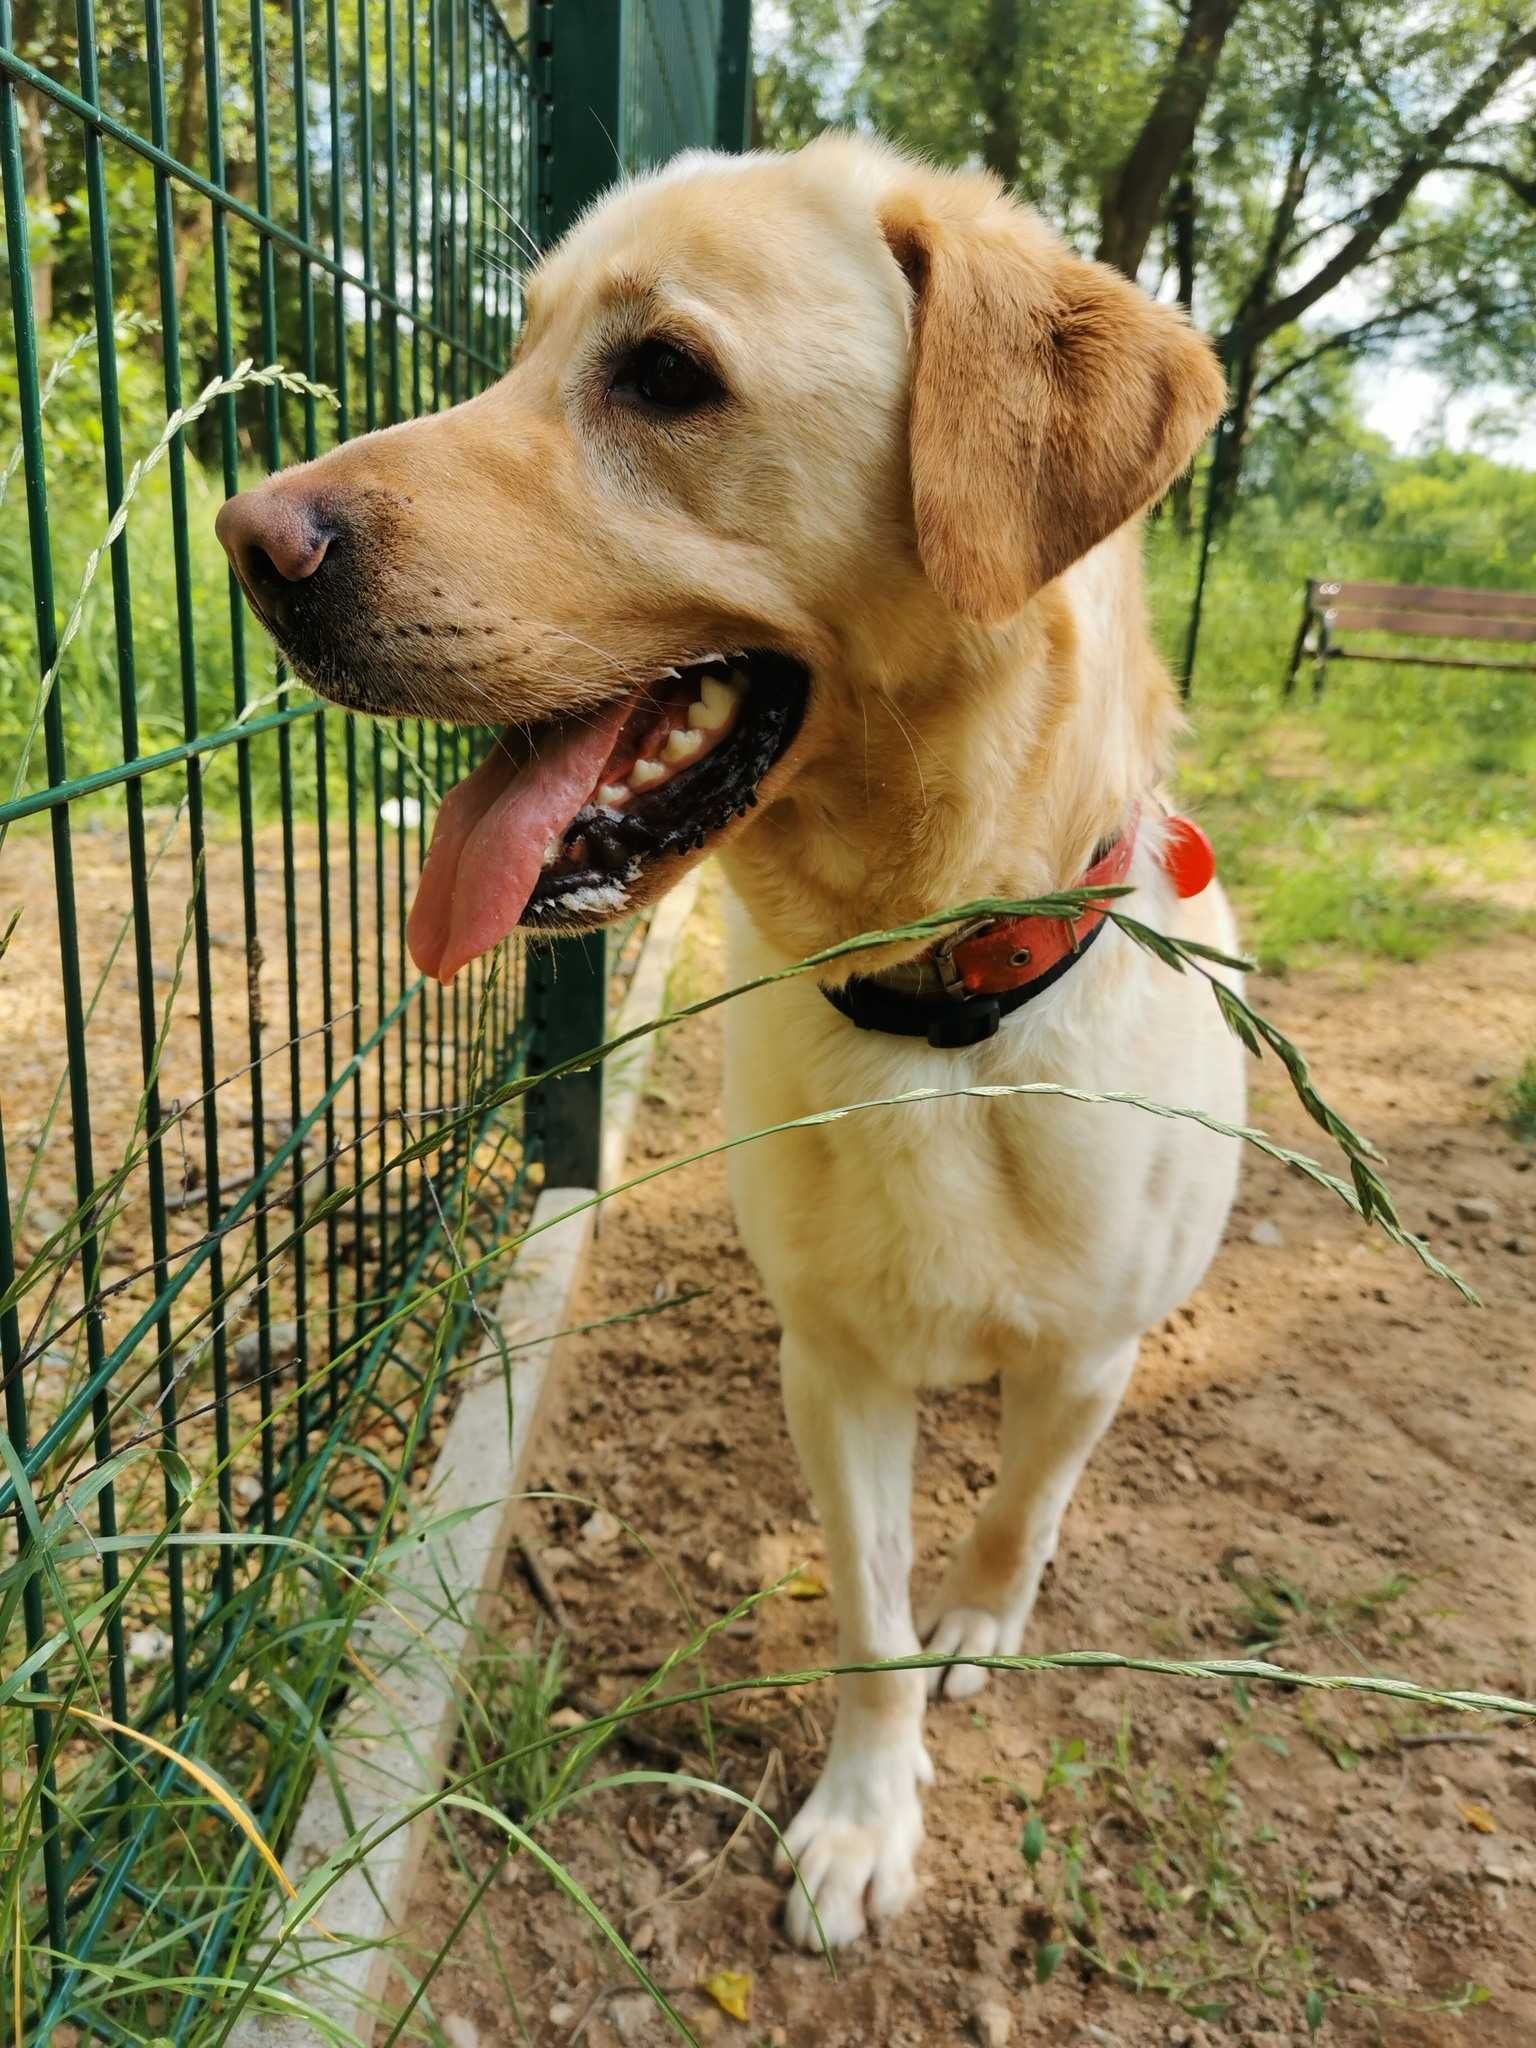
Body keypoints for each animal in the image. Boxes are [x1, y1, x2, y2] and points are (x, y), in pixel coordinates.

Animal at [219, 132, 1253, 1949]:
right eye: (519, 349)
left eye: (665, 374)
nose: (246, 540)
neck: (939, 1007)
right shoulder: (831, 1365)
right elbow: (865, 1614)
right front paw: (863, 1815)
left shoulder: (1088, 1355)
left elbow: (1017, 1509)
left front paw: (979, 1617)